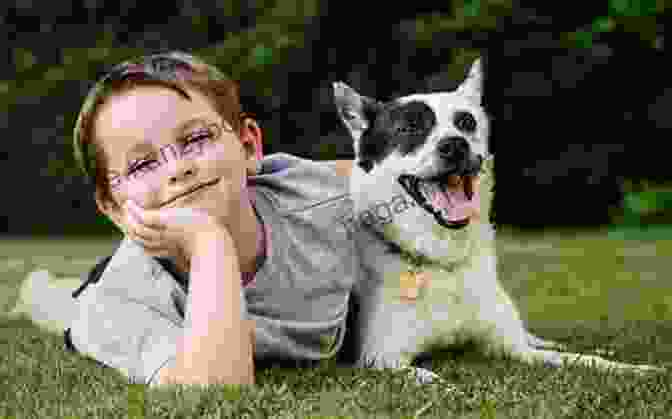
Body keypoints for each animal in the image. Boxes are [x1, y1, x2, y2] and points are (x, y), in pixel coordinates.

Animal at [330, 59, 660, 384]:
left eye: (466, 122)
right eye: (409, 127)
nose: (455, 145)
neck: (445, 258)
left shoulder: (511, 347)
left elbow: (583, 360)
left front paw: (633, 368)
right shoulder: (381, 358)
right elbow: (430, 380)